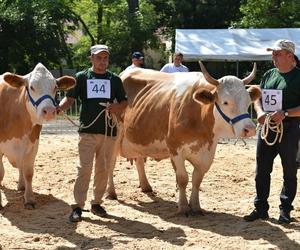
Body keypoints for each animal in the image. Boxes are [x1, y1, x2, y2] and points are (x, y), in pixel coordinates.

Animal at [0, 63, 75, 209]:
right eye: (31, 87)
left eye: (55, 87)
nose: (49, 111)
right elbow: (1, 173)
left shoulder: (33, 145)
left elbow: (29, 172)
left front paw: (29, 199)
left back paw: (22, 186)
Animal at [107, 62, 260, 215]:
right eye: (225, 102)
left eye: (248, 102)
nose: (250, 129)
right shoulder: (175, 149)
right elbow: (182, 178)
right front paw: (183, 207)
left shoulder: (208, 152)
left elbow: (197, 179)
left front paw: (196, 206)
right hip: (113, 137)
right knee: (110, 164)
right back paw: (111, 192)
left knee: (139, 159)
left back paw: (145, 186)